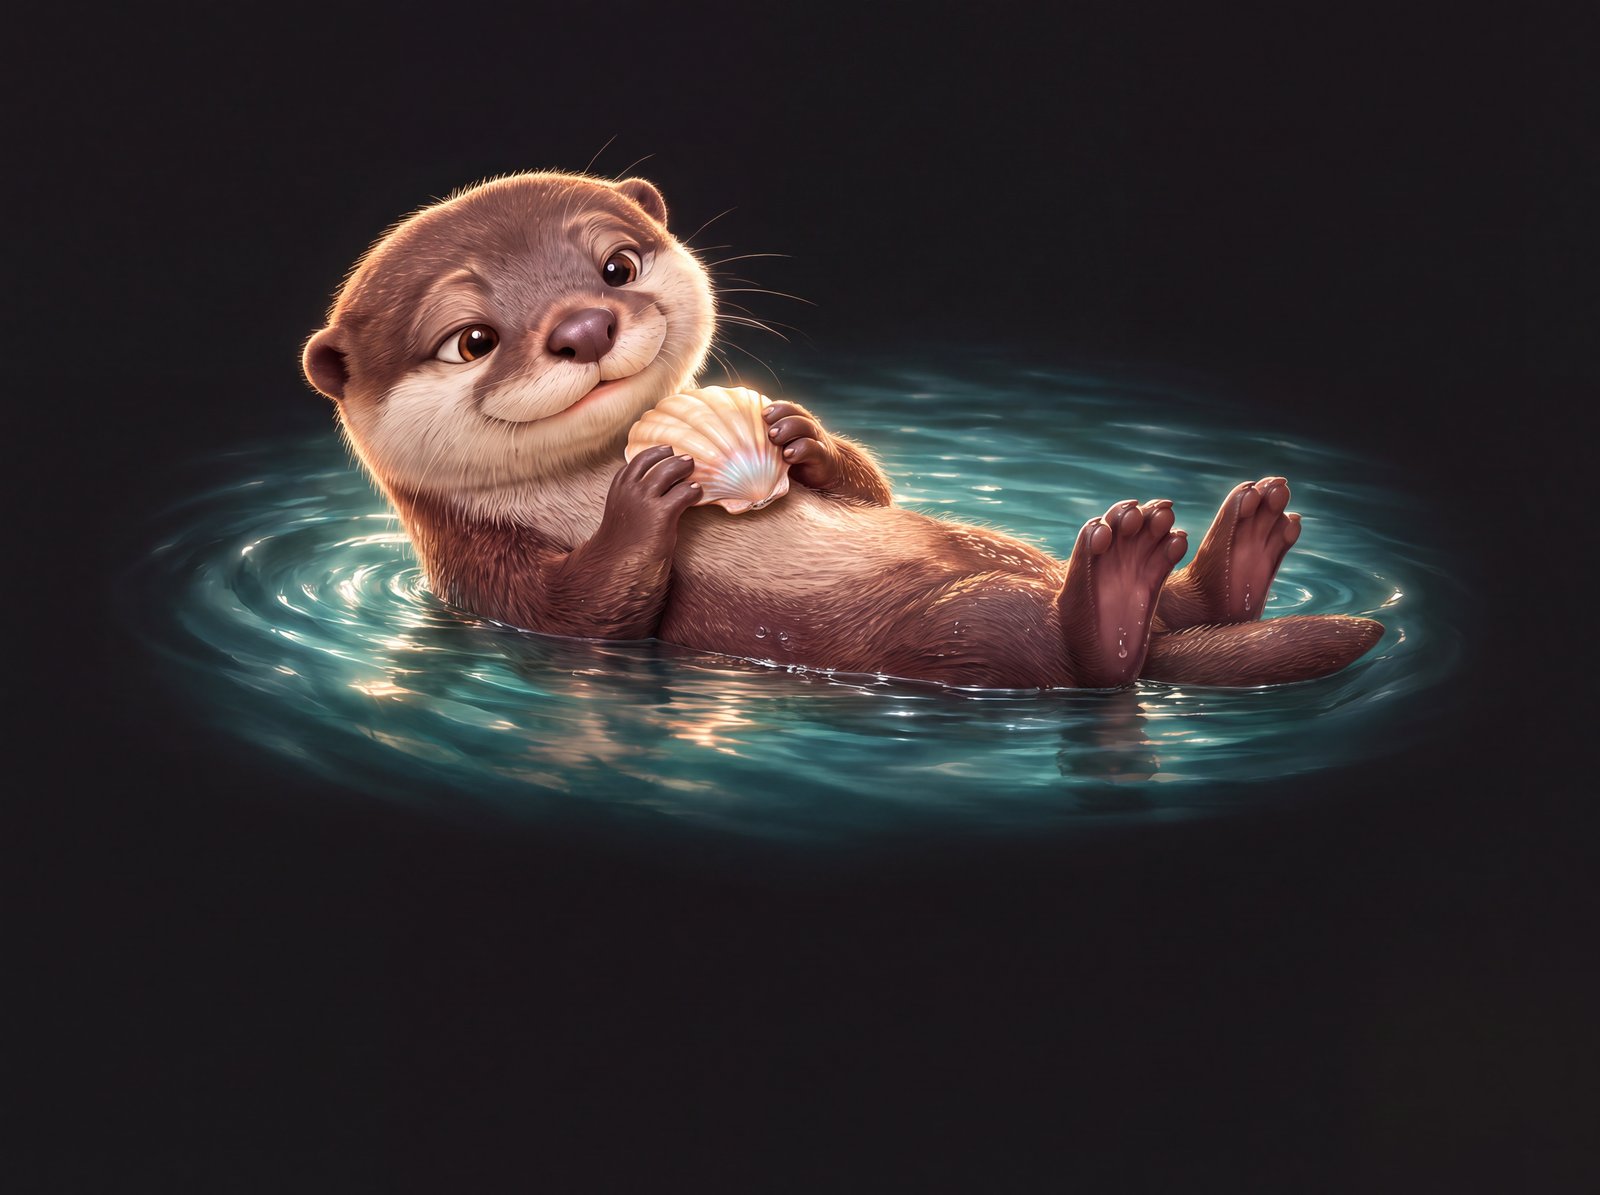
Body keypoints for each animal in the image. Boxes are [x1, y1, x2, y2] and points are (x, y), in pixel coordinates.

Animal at [302, 171, 1382, 689]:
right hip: (946, 633)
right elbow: (584, 612)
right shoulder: (481, 575)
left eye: (616, 266)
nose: (584, 327)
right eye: (473, 339)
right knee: (1086, 663)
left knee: (1184, 612)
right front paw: (644, 497)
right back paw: (1119, 579)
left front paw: (796, 435)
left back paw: (1238, 540)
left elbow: (868, 483)